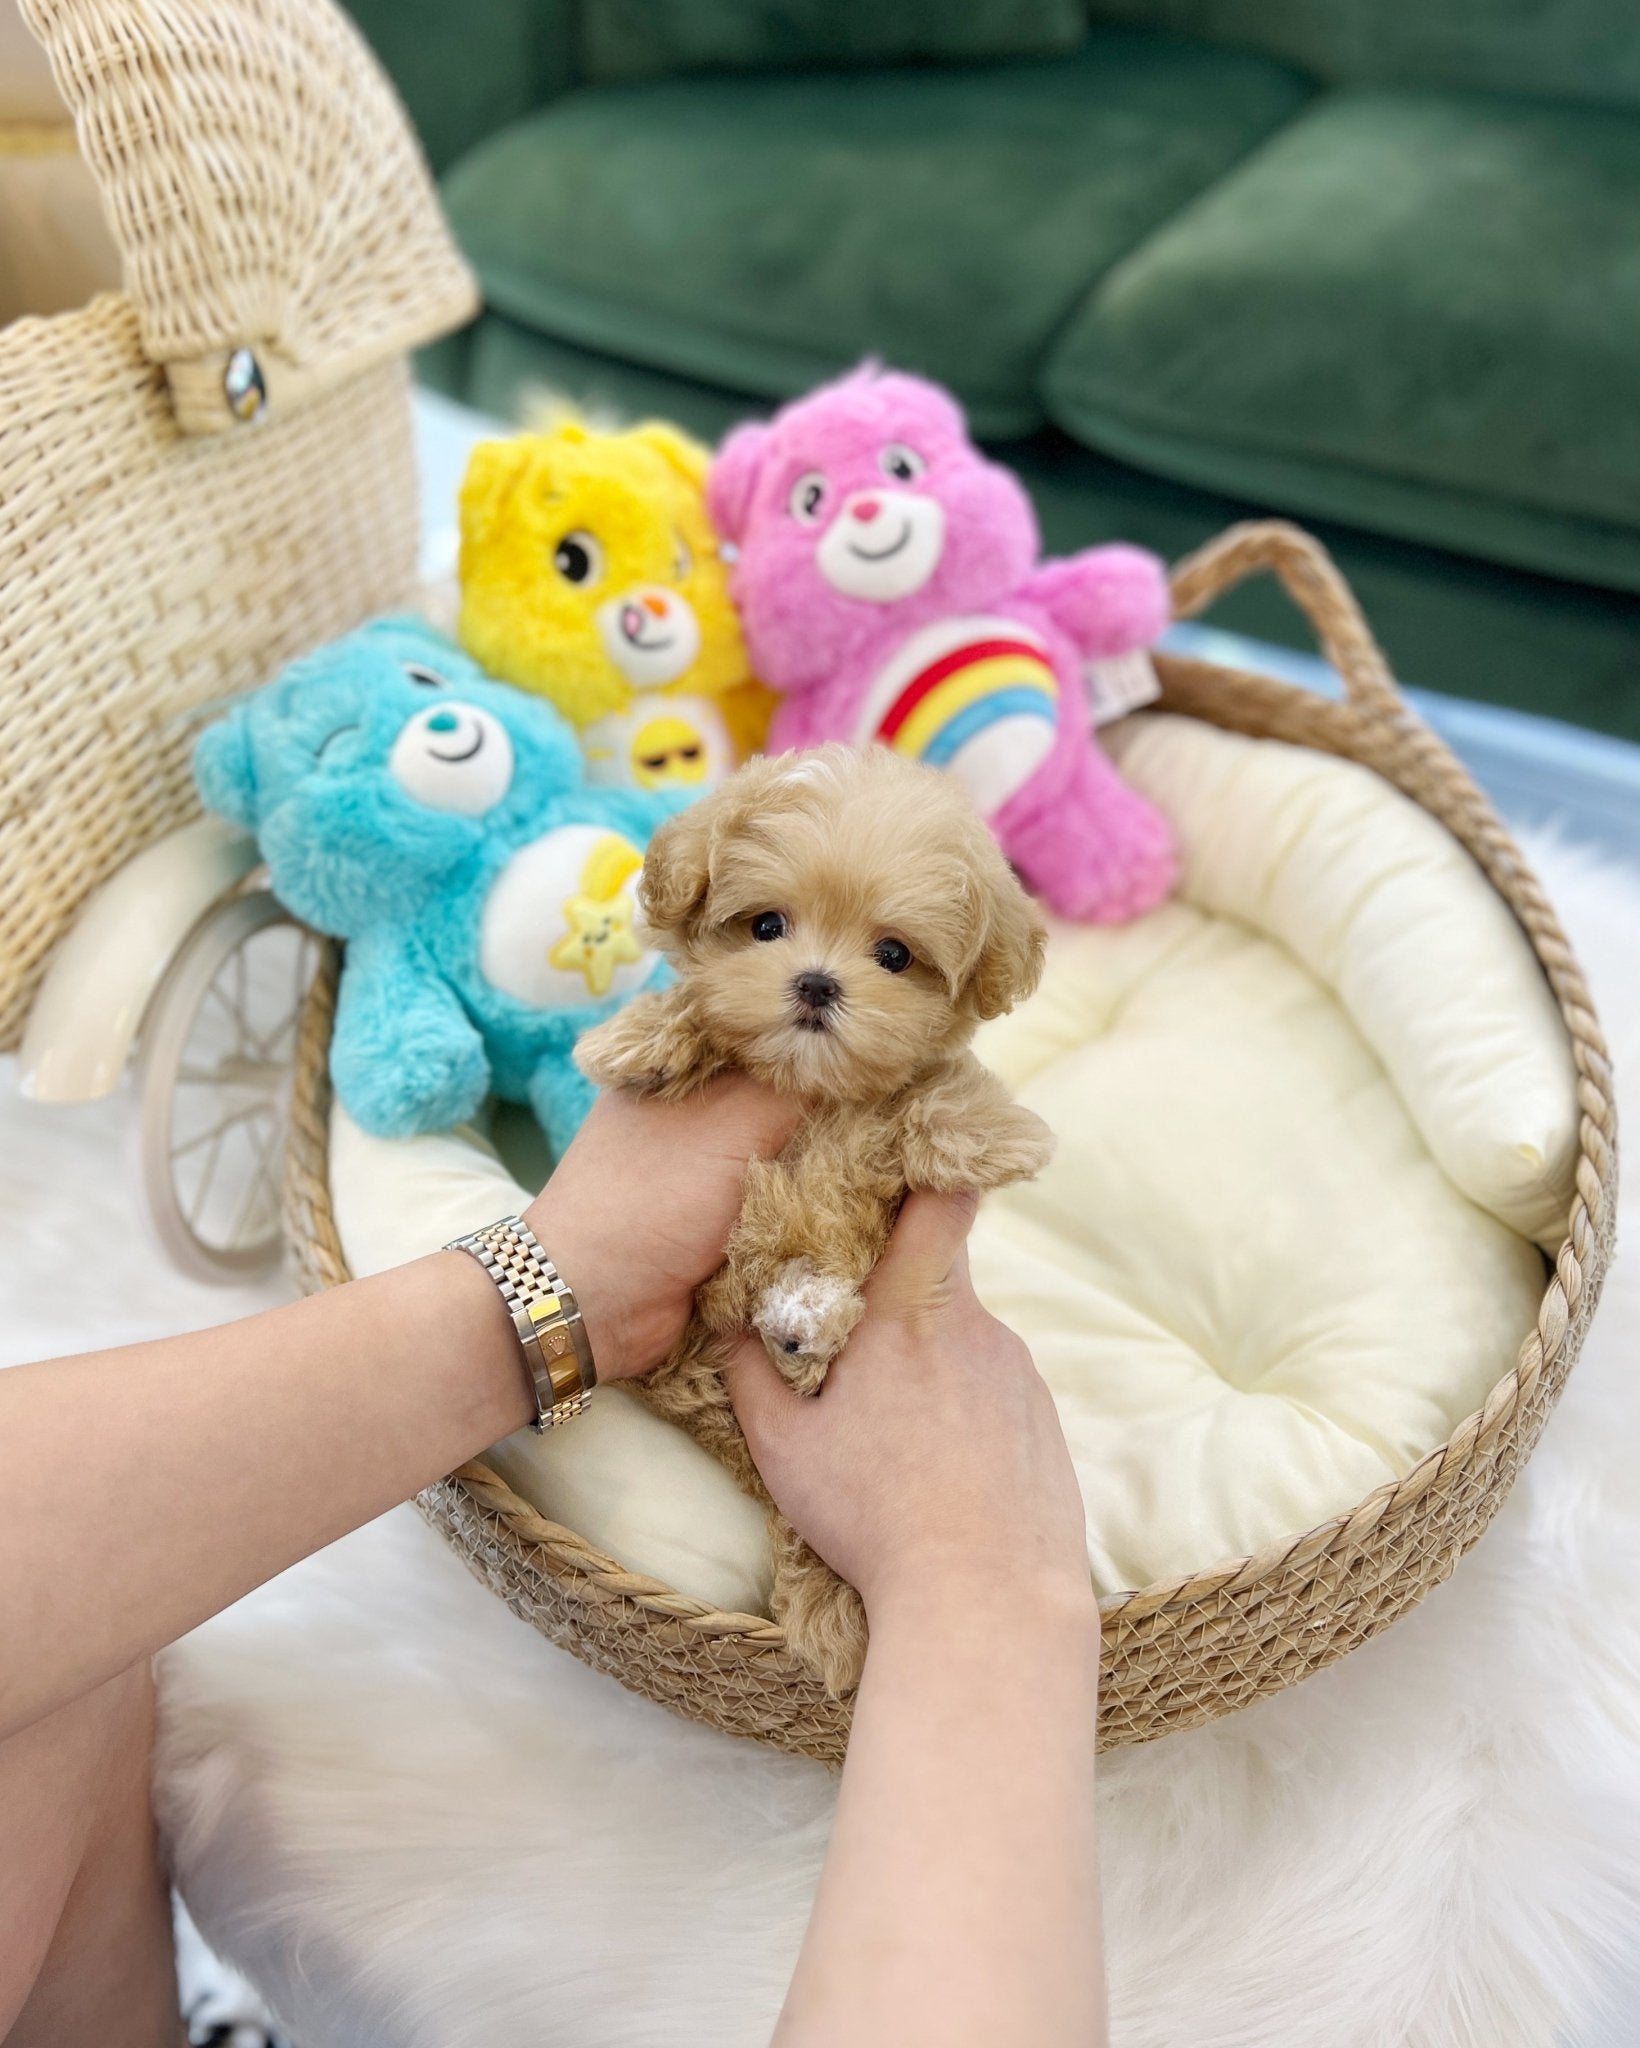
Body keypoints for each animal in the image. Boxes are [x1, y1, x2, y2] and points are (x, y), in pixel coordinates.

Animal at [577, 745, 1056, 1687]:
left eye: (894, 954)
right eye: (766, 927)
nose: (816, 982)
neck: (814, 1089)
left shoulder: (892, 1133)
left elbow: (935, 1097)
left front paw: (997, 1136)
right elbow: (698, 1010)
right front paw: (639, 1040)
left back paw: (804, 1326)